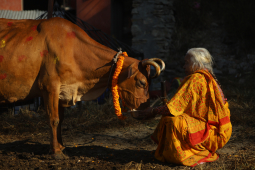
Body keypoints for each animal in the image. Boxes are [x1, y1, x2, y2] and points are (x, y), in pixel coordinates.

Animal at [0, 16, 164, 158]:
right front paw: (56, 152)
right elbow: (54, 119)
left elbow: (61, 120)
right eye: (142, 83)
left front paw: (61, 147)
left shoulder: (63, 90)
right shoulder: (50, 87)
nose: (148, 113)